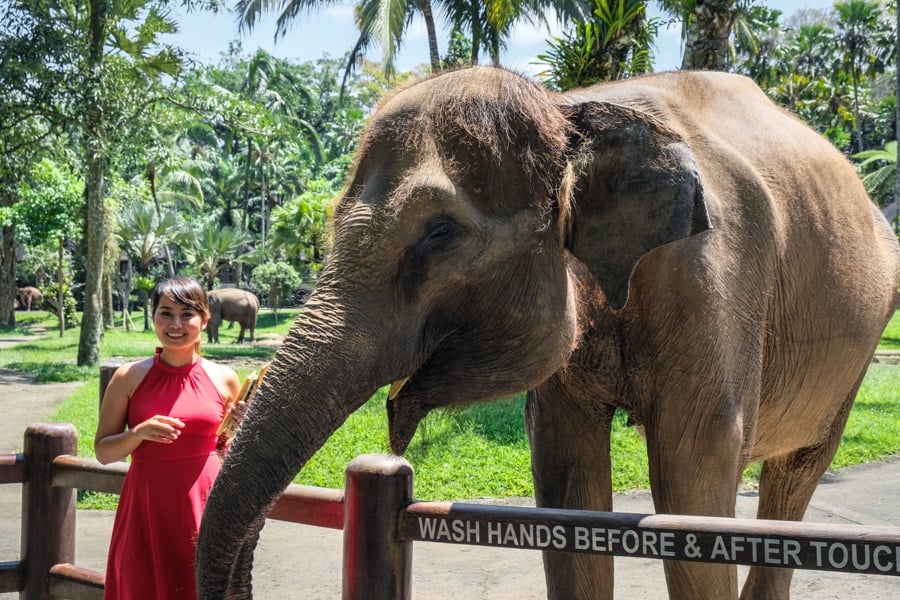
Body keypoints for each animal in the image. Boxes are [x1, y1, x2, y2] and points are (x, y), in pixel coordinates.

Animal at [197, 67, 900, 600]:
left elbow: (694, 474)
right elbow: (567, 478)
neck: (572, 113)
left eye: (440, 233)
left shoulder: (716, 276)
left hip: (865, 337)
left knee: (795, 475)